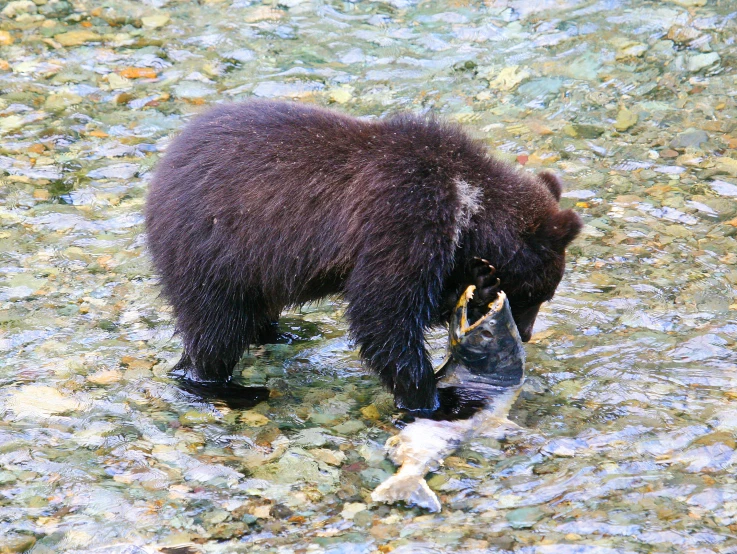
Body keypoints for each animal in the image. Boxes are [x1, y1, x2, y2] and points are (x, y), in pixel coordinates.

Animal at [145, 101, 580, 416]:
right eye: (540, 295)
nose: (527, 333)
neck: (467, 204)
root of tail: (160, 171)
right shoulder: (406, 213)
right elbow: (384, 313)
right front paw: (434, 399)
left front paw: (480, 285)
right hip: (215, 252)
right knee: (214, 329)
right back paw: (227, 386)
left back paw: (284, 332)